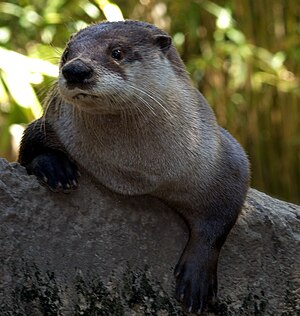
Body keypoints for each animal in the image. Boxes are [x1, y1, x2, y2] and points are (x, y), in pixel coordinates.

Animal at [17, 19, 250, 314]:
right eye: (66, 55)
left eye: (117, 52)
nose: (75, 70)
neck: (135, 172)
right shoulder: (52, 124)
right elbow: (29, 143)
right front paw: (56, 169)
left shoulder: (224, 157)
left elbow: (221, 219)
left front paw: (196, 279)